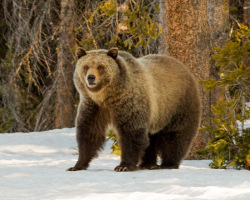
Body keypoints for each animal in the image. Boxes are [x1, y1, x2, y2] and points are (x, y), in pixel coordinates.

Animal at [67, 47, 201, 171]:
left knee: (175, 136)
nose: (91, 77)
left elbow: (131, 132)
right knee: (151, 139)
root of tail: (185, 68)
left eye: (100, 66)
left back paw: (168, 164)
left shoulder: (129, 101)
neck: (106, 96)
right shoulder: (93, 106)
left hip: (177, 105)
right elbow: (89, 132)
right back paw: (148, 164)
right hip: (157, 115)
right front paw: (77, 165)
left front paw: (123, 166)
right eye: (86, 66)